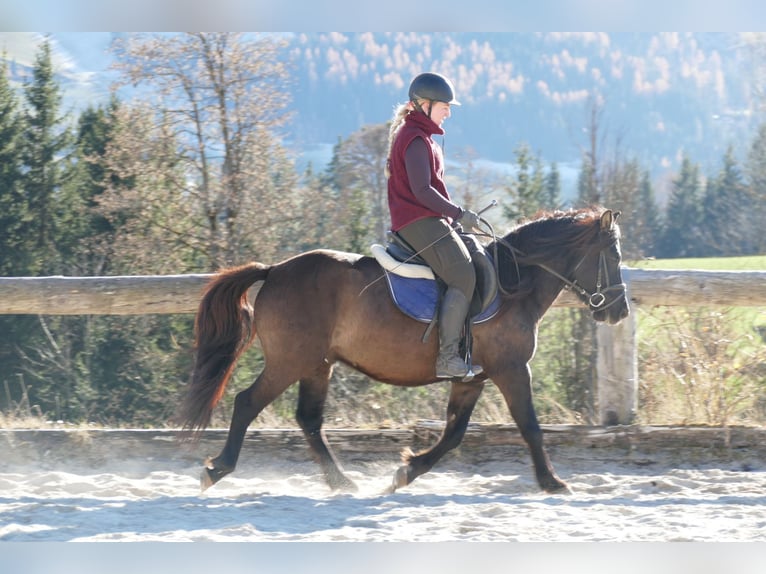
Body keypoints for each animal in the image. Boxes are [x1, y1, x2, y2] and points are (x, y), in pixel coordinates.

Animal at [178, 207, 632, 496]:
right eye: (612, 255)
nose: (619, 310)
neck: (513, 285)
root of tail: (274, 271)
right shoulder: (512, 370)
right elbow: (531, 427)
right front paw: (552, 482)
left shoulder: (472, 378)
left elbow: (454, 434)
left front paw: (406, 471)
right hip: (290, 362)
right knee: (246, 403)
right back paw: (217, 469)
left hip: (317, 365)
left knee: (308, 420)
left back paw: (341, 482)